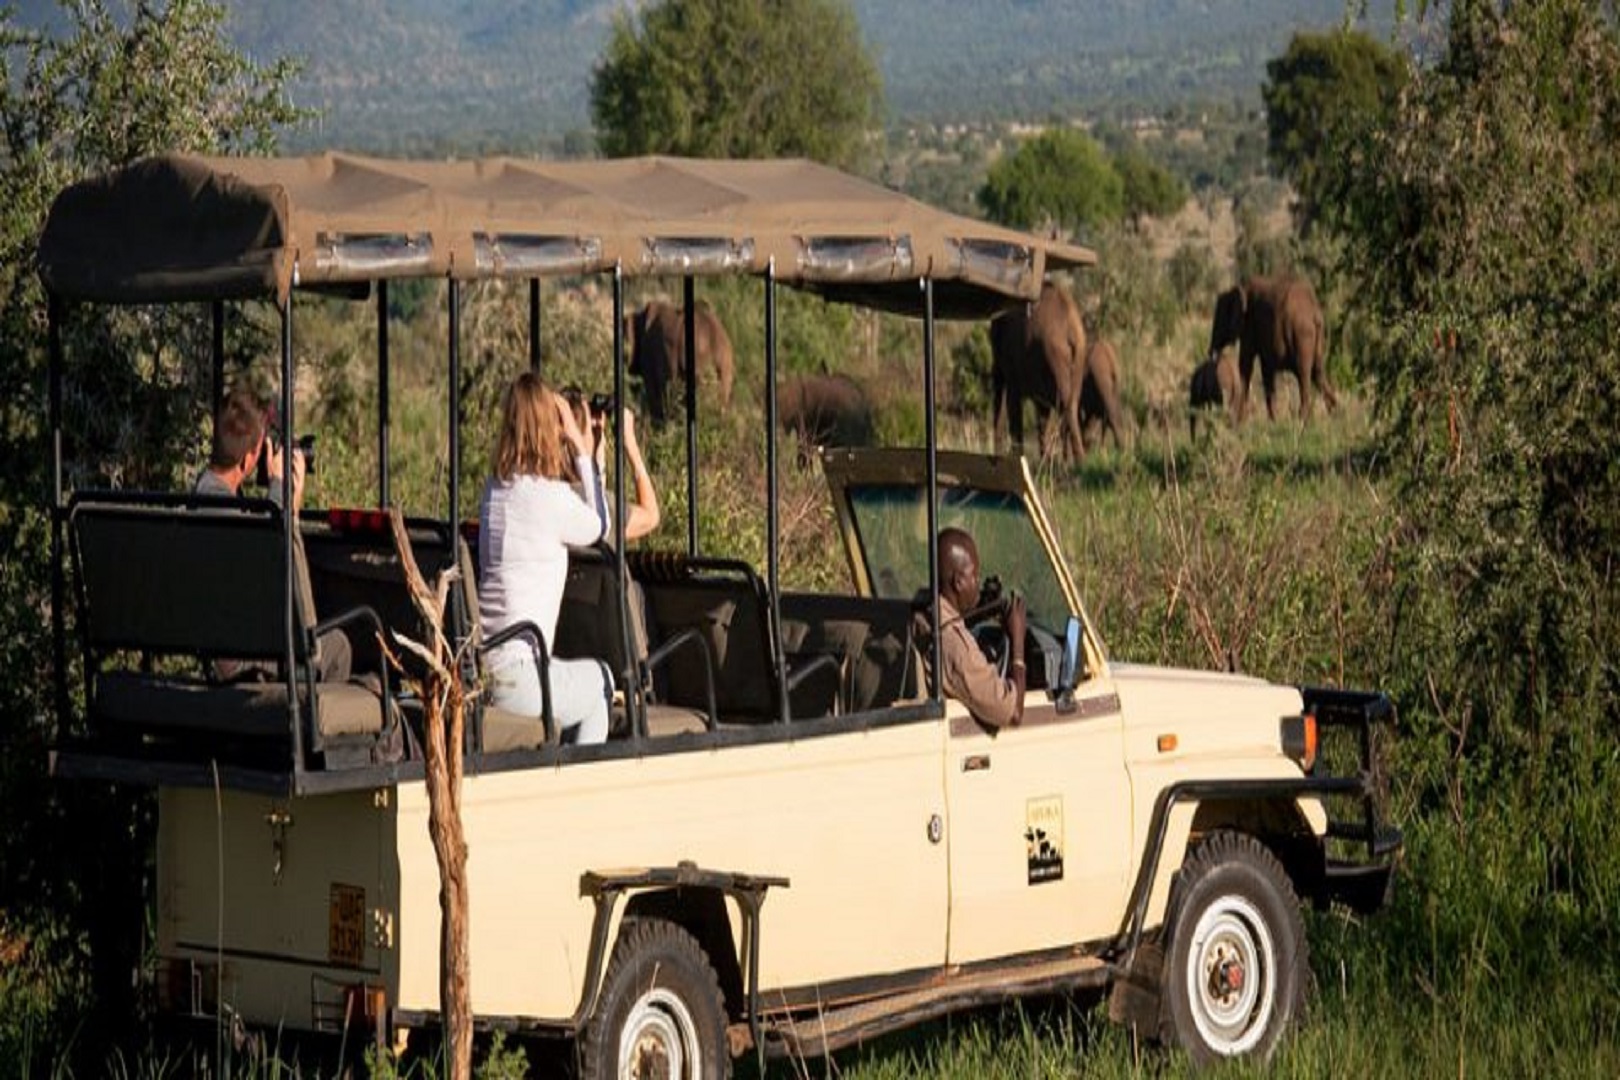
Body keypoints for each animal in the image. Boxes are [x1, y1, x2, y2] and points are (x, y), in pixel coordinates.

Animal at [984, 278, 1088, 459]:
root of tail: (1071, 328)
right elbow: (1041, 414)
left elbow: (1013, 401)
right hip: (1074, 359)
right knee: (1069, 408)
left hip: (1055, 355)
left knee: (1066, 410)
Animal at [1211, 275, 1334, 420]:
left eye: (1219, 320)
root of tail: (1314, 313)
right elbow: (1266, 369)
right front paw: (1274, 420)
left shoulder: (1249, 325)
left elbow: (1246, 364)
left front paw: (1240, 420)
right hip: (1317, 336)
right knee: (1317, 373)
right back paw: (1335, 413)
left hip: (1303, 335)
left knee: (1304, 373)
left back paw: (1301, 420)